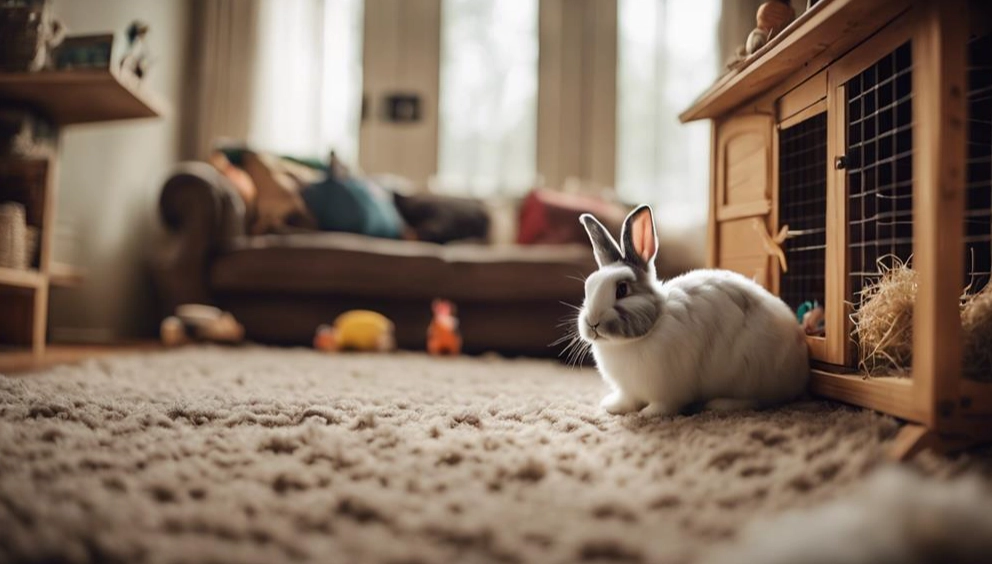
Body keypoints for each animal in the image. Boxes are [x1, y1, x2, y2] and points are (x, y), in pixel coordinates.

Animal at [577, 204, 809, 416]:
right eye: (587, 287)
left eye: (622, 289)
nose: (592, 323)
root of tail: (800, 372)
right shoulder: (629, 390)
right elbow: (628, 400)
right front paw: (613, 407)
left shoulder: (669, 388)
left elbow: (665, 404)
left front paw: (648, 414)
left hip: (749, 374)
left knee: (756, 400)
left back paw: (719, 404)